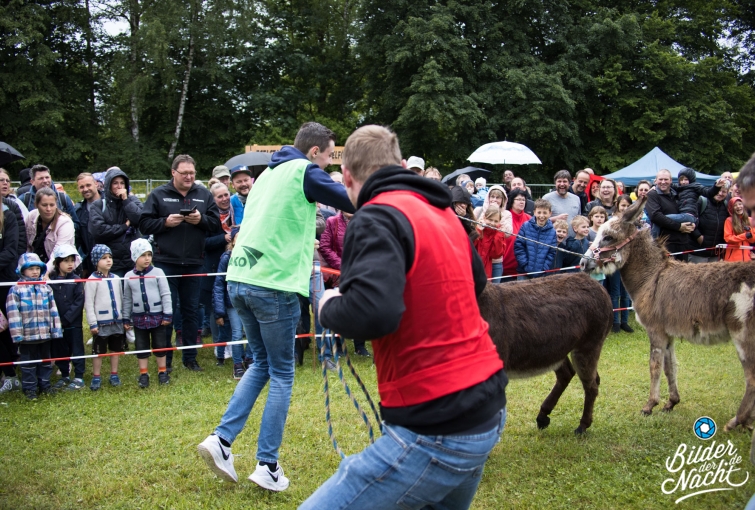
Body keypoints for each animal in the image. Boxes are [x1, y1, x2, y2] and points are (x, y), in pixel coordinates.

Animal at [478, 272, 613, 434]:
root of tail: (595, 284)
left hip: (587, 347)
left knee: (591, 386)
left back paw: (582, 426)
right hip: (558, 351)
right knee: (568, 374)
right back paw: (543, 416)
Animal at [580, 196, 755, 433]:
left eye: (608, 237)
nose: (582, 263)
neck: (651, 276)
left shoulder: (656, 331)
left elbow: (654, 366)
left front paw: (649, 405)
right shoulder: (668, 333)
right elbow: (670, 367)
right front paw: (671, 402)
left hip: (743, 335)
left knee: (752, 379)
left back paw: (736, 421)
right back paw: (746, 422)